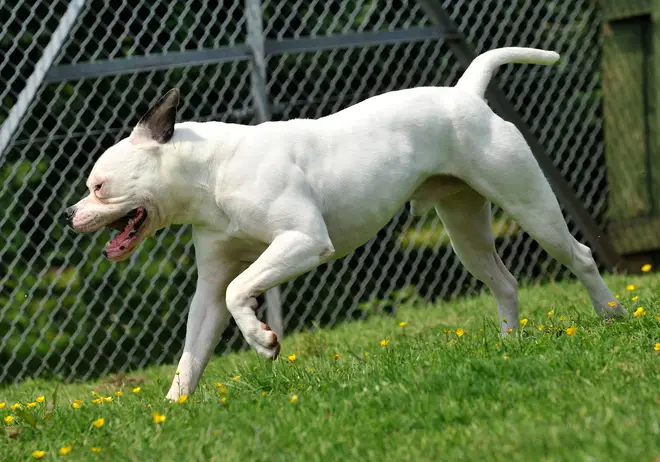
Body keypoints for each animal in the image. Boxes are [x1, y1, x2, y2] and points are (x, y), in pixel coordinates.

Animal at [67, 47, 628, 400]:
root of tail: (465, 94)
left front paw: (263, 340)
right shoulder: (209, 284)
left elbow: (240, 289)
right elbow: (194, 347)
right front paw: (174, 408)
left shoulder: (302, 241)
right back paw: (511, 346)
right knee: (504, 281)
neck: (210, 171)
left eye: (98, 186)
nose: (69, 212)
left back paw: (611, 315)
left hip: (532, 206)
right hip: (466, 229)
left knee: (579, 256)